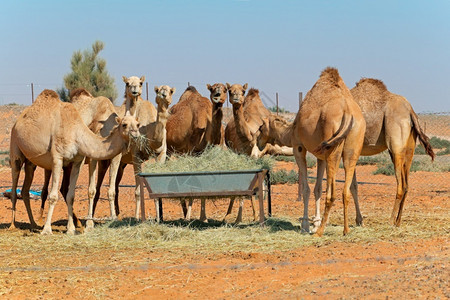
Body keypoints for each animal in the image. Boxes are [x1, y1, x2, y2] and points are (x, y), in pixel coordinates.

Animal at [10, 89, 141, 234]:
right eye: (124, 125)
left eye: (138, 124)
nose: (136, 135)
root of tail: (18, 120)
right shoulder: (58, 159)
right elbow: (54, 196)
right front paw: (47, 230)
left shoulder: (77, 161)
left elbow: (71, 195)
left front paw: (71, 229)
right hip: (15, 147)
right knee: (15, 184)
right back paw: (13, 225)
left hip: (31, 161)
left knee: (25, 190)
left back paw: (34, 224)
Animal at [90, 79, 173, 220]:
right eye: (157, 90)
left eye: (171, 91)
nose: (163, 94)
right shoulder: (136, 156)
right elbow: (138, 191)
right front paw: (136, 217)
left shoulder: (161, 155)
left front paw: (159, 218)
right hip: (105, 159)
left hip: (121, 163)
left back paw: (116, 214)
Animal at [290, 68, 368, 237]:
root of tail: (348, 112)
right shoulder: (321, 157)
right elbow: (317, 188)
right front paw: (314, 223)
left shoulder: (298, 147)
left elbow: (306, 188)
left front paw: (306, 226)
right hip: (352, 148)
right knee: (346, 190)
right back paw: (346, 230)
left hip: (332, 147)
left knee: (332, 194)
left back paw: (320, 232)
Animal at [302, 78, 436, 231]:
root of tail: (410, 111)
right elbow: (353, 186)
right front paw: (359, 220)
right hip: (409, 149)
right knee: (407, 184)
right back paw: (398, 222)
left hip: (395, 146)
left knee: (401, 185)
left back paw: (390, 221)